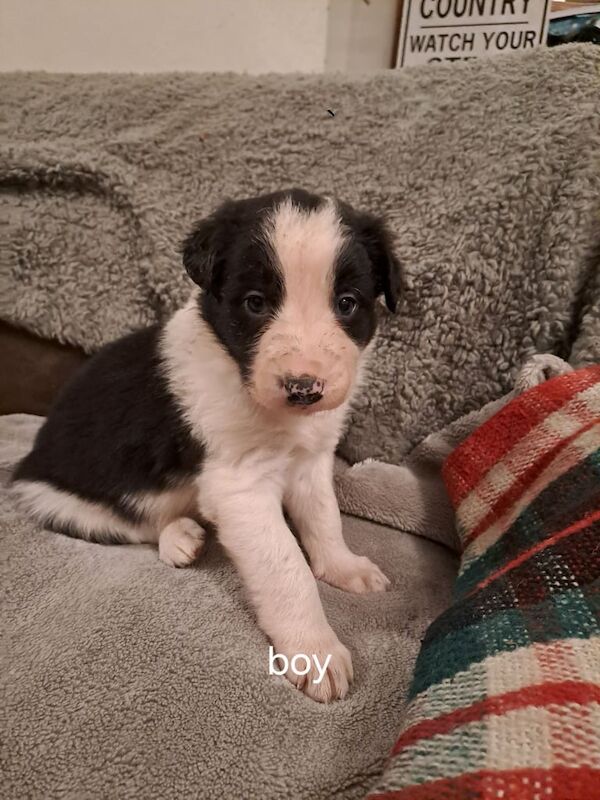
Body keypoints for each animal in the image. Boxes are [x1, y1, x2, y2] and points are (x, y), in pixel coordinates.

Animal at [11, 188, 400, 700]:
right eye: (255, 303)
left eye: (348, 303)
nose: (304, 388)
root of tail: (32, 455)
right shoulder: (239, 487)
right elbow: (286, 567)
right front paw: (314, 651)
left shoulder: (311, 462)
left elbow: (325, 519)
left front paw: (343, 567)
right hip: (59, 501)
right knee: (133, 525)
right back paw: (179, 537)